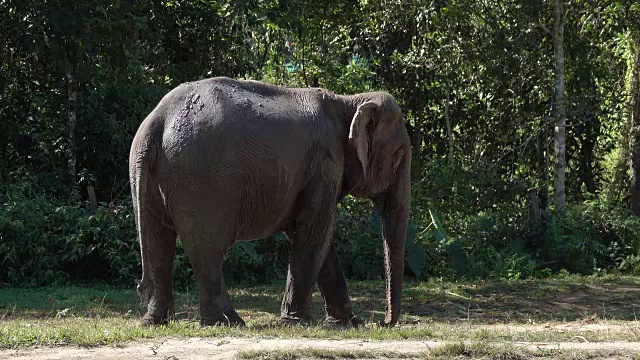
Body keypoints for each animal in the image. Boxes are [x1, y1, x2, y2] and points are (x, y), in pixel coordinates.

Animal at [129, 77, 410, 328]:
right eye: (399, 155)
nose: (383, 323)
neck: (348, 101)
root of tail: (158, 120)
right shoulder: (325, 164)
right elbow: (316, 231)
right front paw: (299, 322)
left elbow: (314, 236)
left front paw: (349, 323)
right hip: (200, 183)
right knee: (206, 249)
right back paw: (228, 322)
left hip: (147, 177)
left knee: (159, 245)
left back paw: (155, 322)